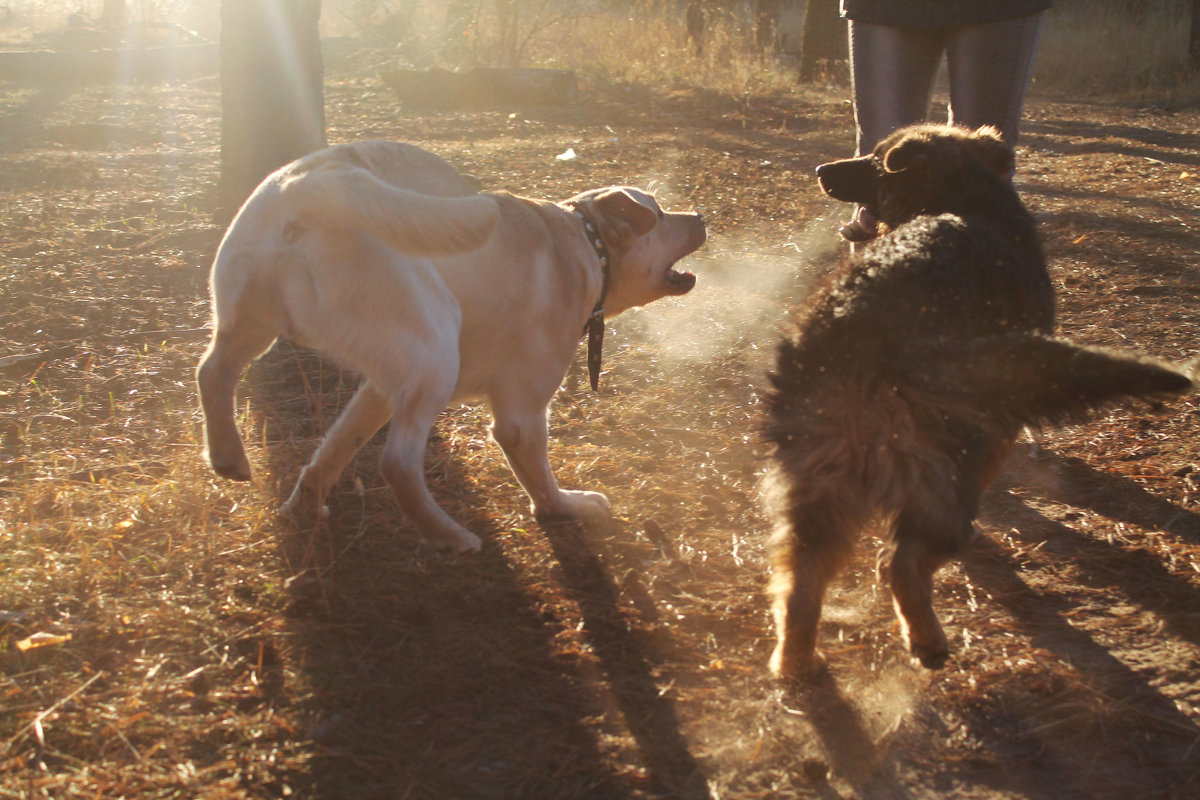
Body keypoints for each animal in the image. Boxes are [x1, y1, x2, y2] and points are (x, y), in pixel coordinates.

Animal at [195, 140, 700, 554]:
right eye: (659, 213)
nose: (699, 216)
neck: (583, 243)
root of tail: (310, 187)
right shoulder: (521, 414)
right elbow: (539, 478)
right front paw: (563, 507)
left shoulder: (381, 390)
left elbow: (336, 446)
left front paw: (305, 501)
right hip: (436, 353)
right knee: (398, 462)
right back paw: (448, 535)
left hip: (253, 325)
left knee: (211, 369)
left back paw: (229, 457)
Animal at [763, 125, 1195, 681]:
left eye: (875, 160)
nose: (821, 170)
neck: (962, 200)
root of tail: (865, 327)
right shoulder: (998, 423)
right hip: (941, 474)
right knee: (901, 564)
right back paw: (927, 642)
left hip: (820, 476)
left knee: (800, 578)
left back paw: (796, 661)